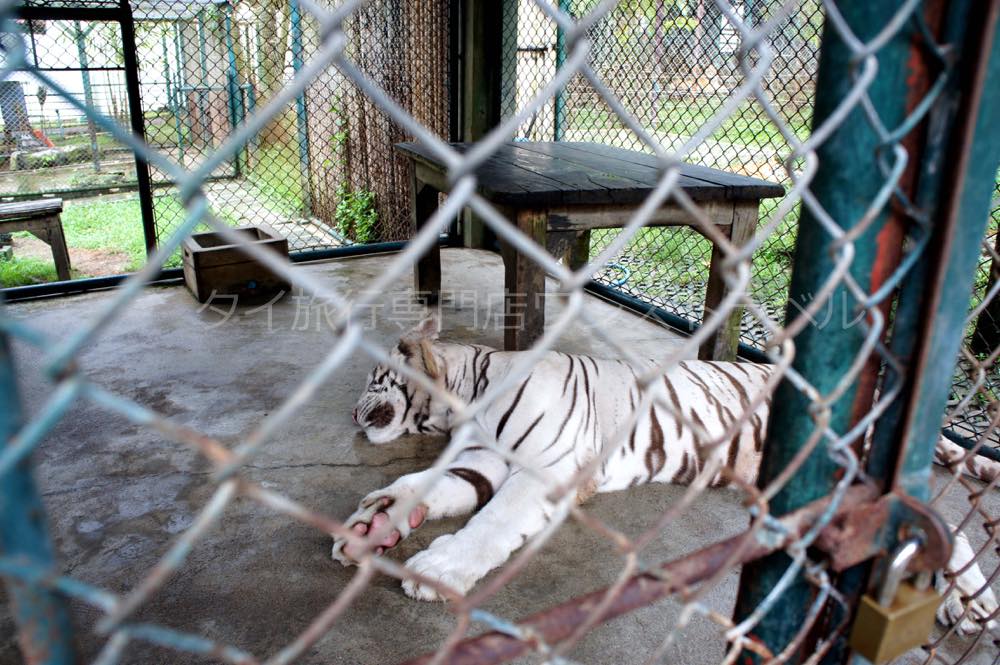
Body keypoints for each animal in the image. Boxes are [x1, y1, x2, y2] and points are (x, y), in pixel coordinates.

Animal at [332, 316, 996, 632]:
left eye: (371, 379)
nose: (351, 413)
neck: (469, 394)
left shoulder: (544, 468)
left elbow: (490, 524)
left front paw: (437, 570)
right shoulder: (481, 462)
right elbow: (419, 488)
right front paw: (372, 526)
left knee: (937, 524)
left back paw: (973, 606)